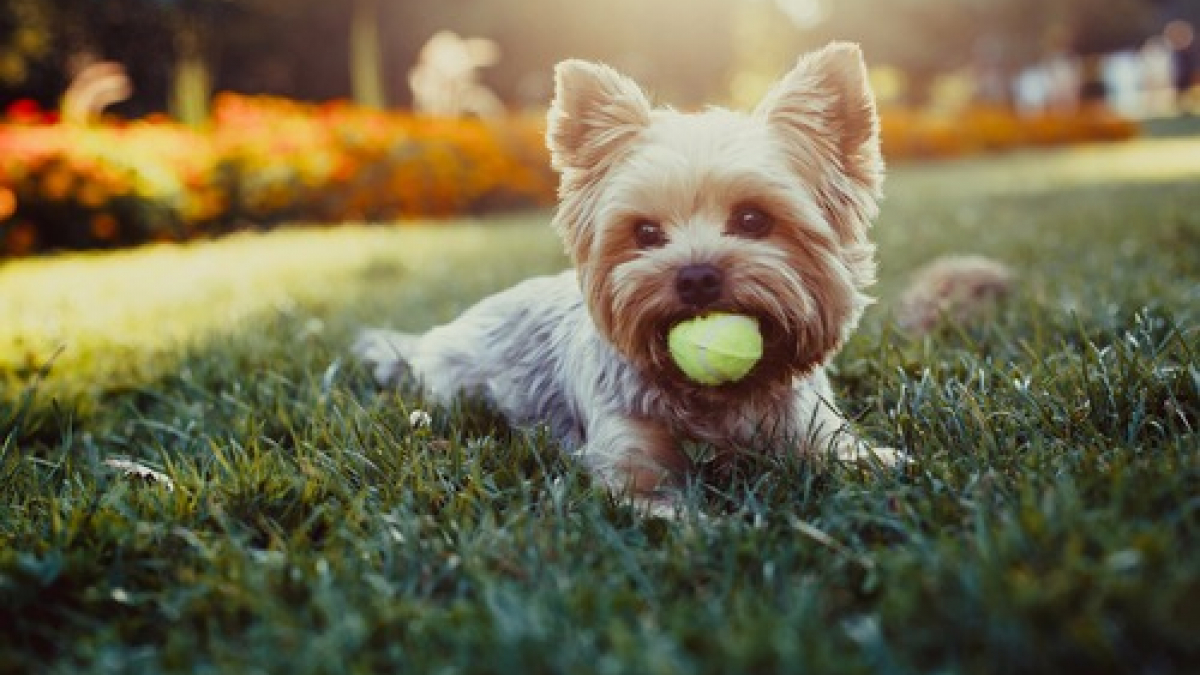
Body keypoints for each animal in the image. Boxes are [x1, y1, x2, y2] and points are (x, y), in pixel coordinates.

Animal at [355, 42, 902, 511]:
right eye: (646, 231)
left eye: (753, 219)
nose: (696, 277)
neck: (716, 399)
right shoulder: (629, 457)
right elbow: (660, 508)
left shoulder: (812, 427)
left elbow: (863, 458)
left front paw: (885, 462)